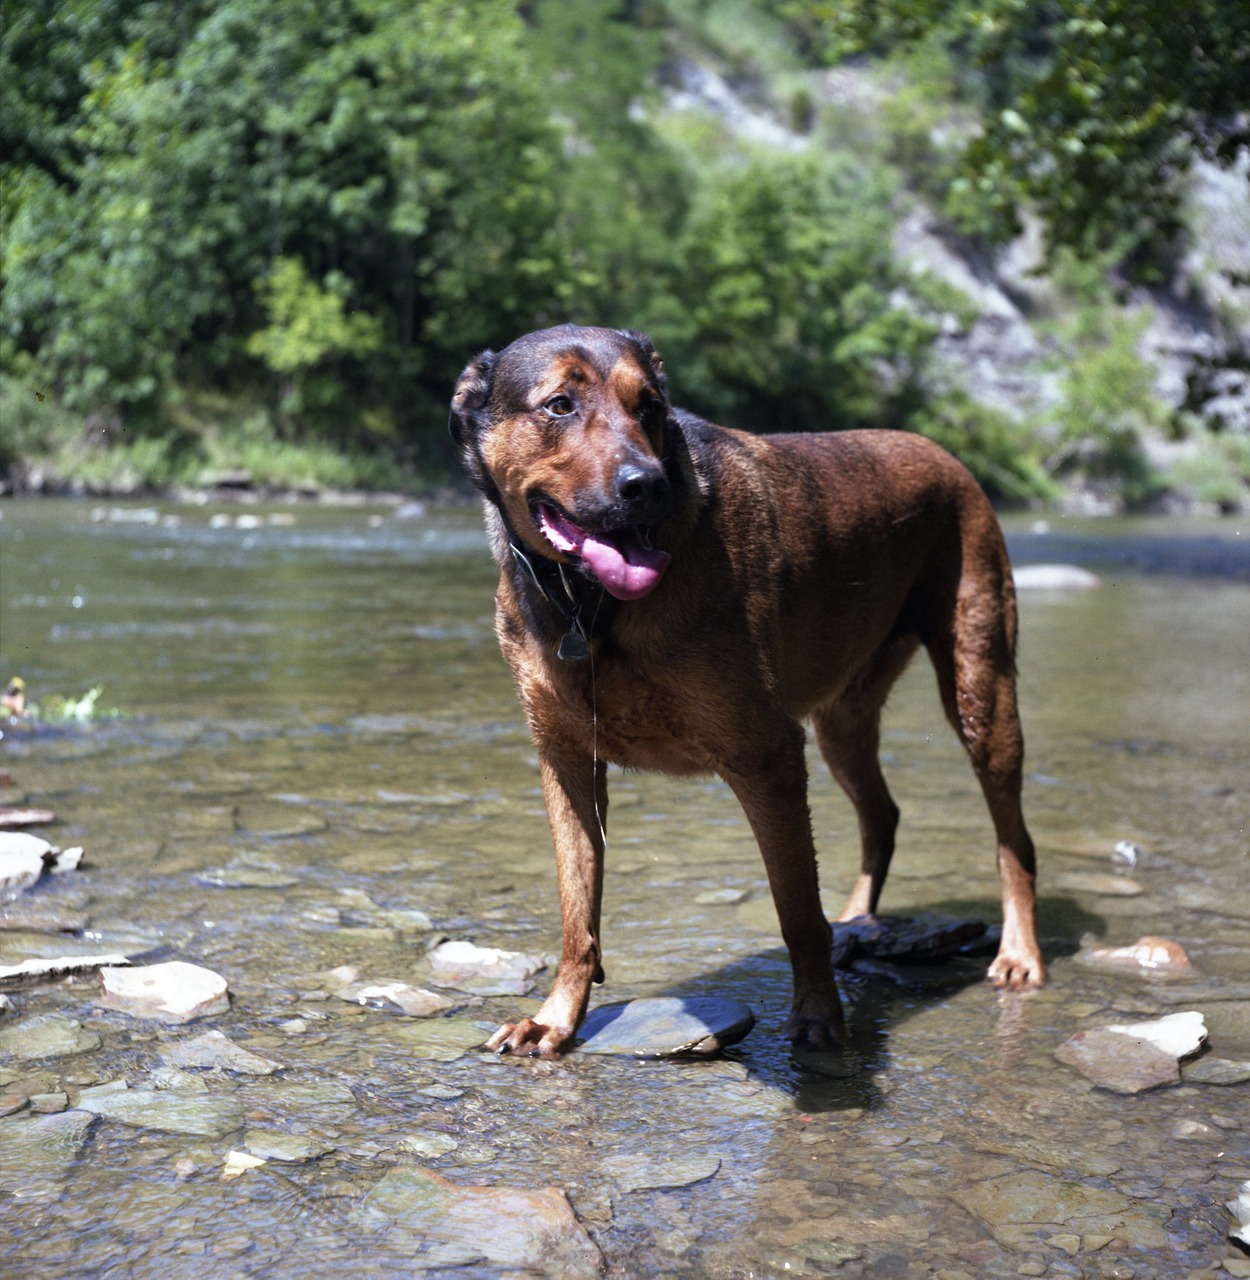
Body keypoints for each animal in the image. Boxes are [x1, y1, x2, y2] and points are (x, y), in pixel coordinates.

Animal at [447, 322, 1044, 1059]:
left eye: (650, 406)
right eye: (559, 404)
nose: (646, 486)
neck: (591, 607)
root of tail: (946, 454)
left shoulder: (766, 755)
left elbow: (796, 909)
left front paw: (818, 1019)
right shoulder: (566, 762)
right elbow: (576, 915)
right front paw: (556, 1021)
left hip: (980, 693)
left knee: (1015, 841)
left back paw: (1019, 954)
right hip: (842, 722)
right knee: (882, 814)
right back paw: (860, 923)